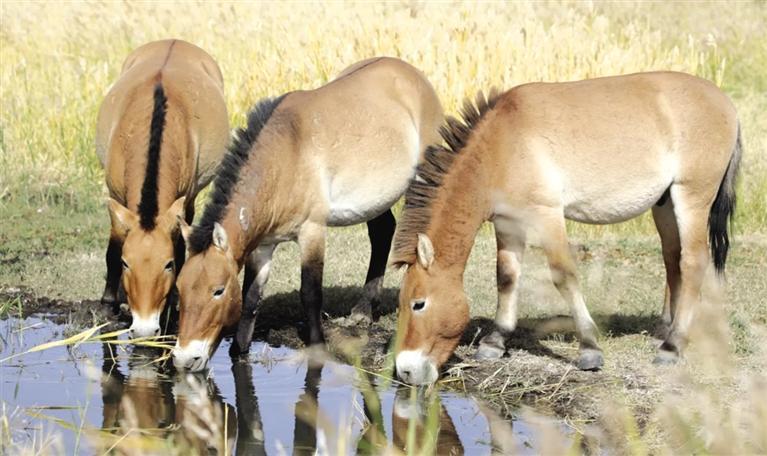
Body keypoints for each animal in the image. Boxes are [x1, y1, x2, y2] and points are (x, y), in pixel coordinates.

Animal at [95, 39, 229, 337]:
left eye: (168, 265)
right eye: (126, 263)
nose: (145, 329)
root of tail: (174, 41)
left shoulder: (181, 201)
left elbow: (180, 246)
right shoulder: (115, 199)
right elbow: (111, 249)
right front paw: (108, 304)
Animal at [170, 57, 443, 371]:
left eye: (218, 290)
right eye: (180, 287)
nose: (185, 359)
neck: (285, 156)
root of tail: (412, 74)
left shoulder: (312, 231)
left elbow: (310, 293)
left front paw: (319, 346)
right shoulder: (263, 245)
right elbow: (252, 296)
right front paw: (239, 349)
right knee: (382, 233)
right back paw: (364, 310)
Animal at [390, 71, 742, 385]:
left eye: (419, 303)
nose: (405, 371)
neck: (502, 146)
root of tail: (726, 102)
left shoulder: (547, 217)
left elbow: (564, 276)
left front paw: (589, 349)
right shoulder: (508, 223)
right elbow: (506, 278)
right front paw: (495, 341)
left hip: (691, 198)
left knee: (693, 262)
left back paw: (672, 345)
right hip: (665, 204)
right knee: (672, 258)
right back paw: (665, 329)